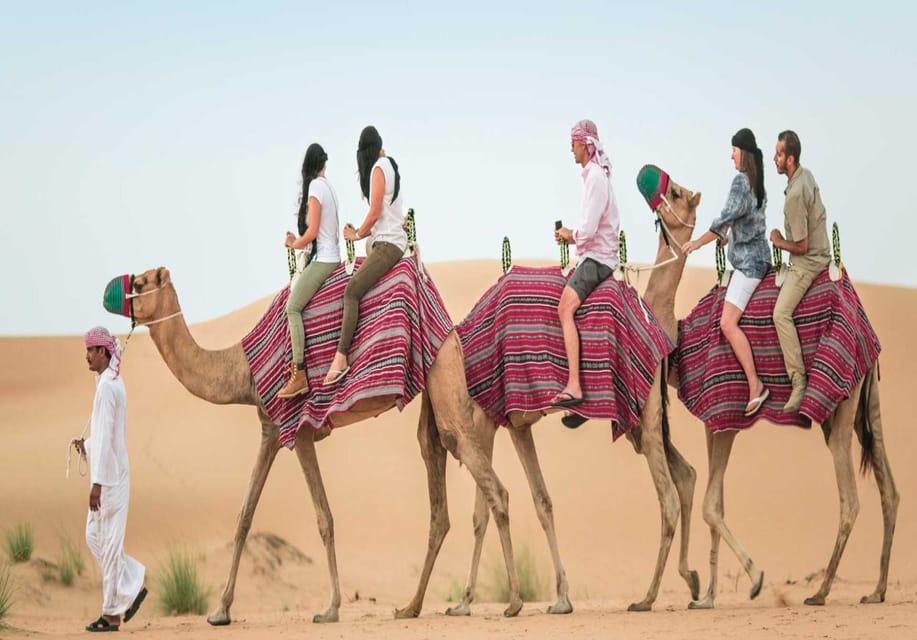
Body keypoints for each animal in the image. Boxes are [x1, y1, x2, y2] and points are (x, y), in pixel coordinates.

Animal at [123, 264, 536, 624]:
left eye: (140, 283)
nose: (116, 300)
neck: (242, 369)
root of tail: (448, 326)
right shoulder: (270, 429)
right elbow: (244, 516)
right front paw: (220, 611)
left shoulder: (298, 430)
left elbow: (323, 517)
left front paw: (331, 608)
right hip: (433, 383)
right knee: (437, 485)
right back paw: (411, 607)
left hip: (443, 376)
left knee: (490, 482)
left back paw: (513, 602)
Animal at [632, 169, 900, 604]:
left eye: (677, 192)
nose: (648, 177)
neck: (680, 339)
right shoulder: (714, 420)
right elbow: (715, 503)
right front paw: (706, 597)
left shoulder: (724, 409)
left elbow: (710, 506)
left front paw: (754, 579)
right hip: (866, 399)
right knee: (889, 489)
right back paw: (875, 591)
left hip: (840, 408)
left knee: (849, 500)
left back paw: (820, 591)